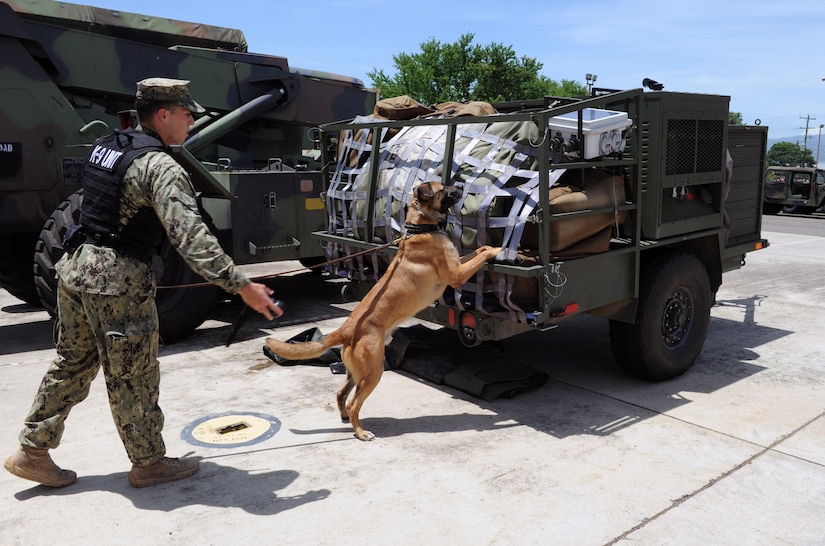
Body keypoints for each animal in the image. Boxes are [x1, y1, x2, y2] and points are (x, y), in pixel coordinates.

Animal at [266, 181, 496, 440]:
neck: (420, 228)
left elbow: (478, 251)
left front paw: (491, 247)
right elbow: (480, 256)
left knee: (341, 394)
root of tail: (346, 330)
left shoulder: (458, 263)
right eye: (443, 188)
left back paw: (346, 420)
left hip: (357, 372)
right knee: (354, 403)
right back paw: (360, 432)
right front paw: (498, 250)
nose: (459, 184)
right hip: (373, 372)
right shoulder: (456, 274)